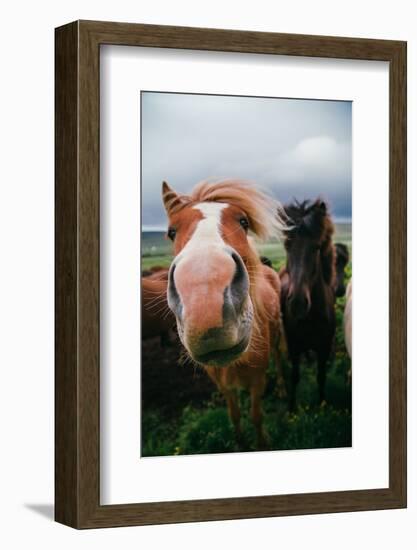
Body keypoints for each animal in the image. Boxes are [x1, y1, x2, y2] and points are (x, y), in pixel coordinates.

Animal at [161, 180, 284, 448]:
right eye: (171, 232)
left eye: (243, 222)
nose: (205, 302)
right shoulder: (224, 386)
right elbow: (234, 415)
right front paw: (240, 442)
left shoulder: (257, 380)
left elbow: (256, 415)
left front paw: (262, 444)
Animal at [278, 201, 336, 412]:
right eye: (287, 245)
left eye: (316, 247)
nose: (297, 303)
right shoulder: (294, 347)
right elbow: (294, 376)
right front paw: (291, 408)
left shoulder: (324, 348)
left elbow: (321, 376)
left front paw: (321, 404)